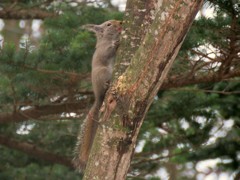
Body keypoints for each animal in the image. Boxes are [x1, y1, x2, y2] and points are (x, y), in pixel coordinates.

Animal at [72, 19, 122, 172]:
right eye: (109, 24)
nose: (121, 23)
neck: (106, 38)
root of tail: (98, 97)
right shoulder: (103, 50)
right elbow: (107, 52)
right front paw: (116, 43)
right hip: (103, 72)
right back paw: (106, 85)